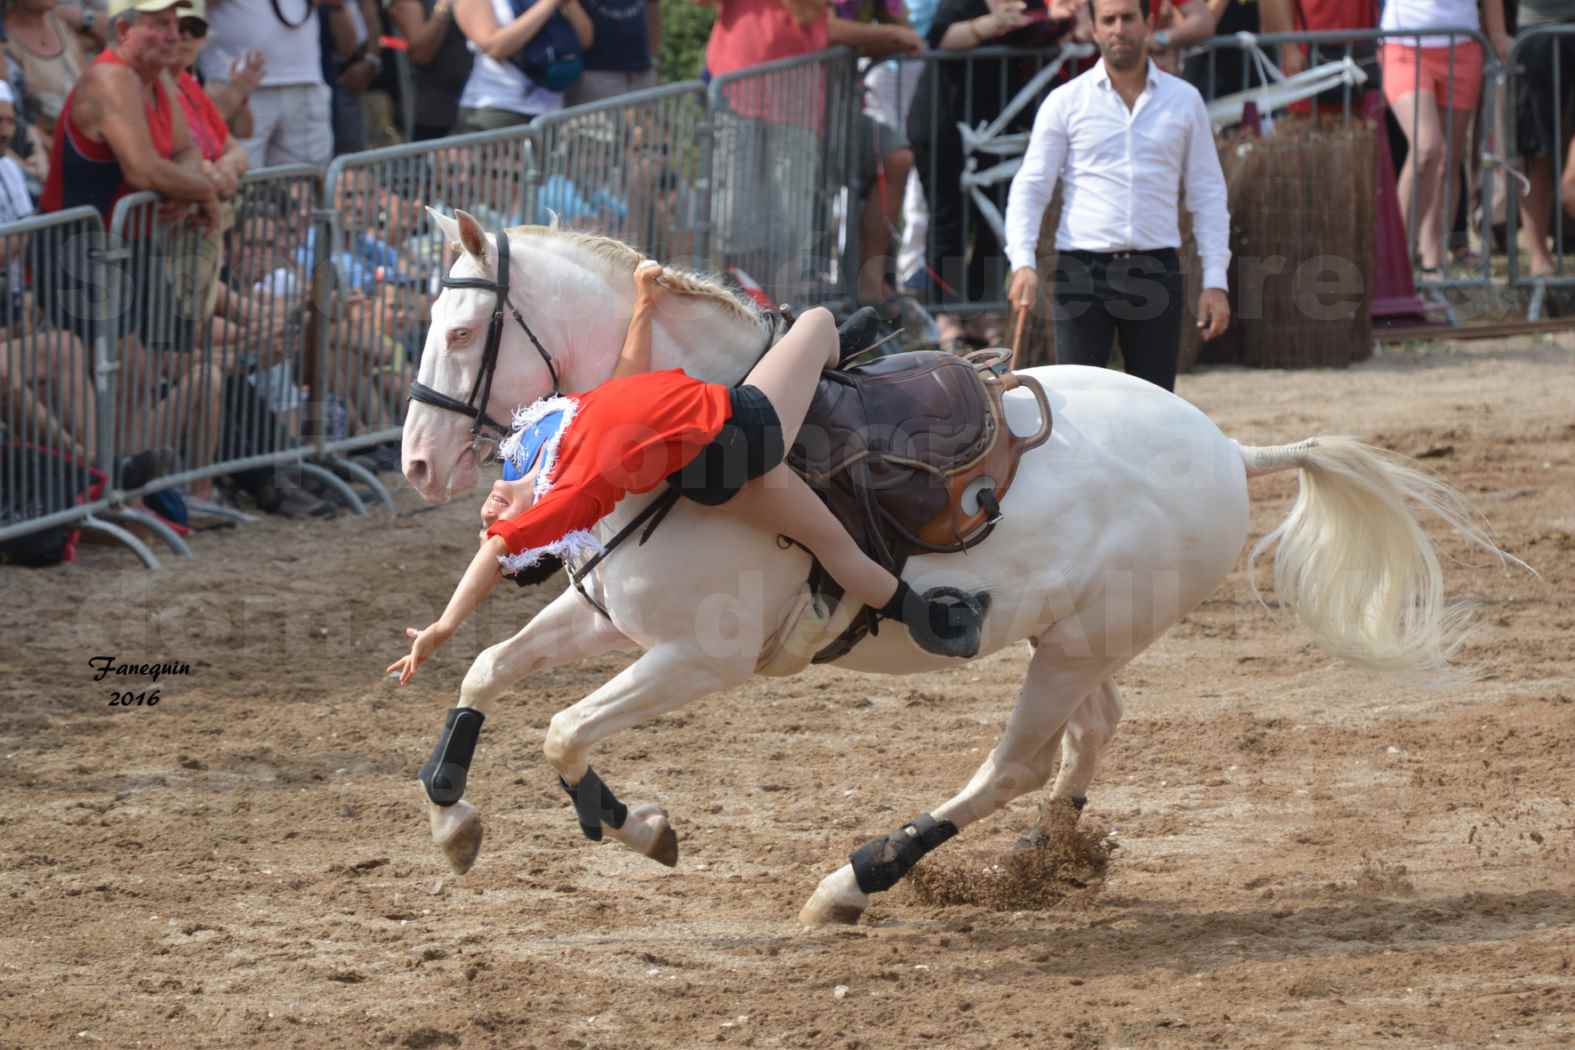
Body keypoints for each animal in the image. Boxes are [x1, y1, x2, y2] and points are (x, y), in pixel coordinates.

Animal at [400, 209, 1505, 925]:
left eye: (460, 331)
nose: (413, 462)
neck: (679, 425)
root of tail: (1231, 451)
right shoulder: (606, 620)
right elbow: (486, 672)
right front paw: (453, 817)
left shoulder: (694, 657)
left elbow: (563, 732)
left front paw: (636, 824)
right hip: (1079, 638)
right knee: (1089, 735)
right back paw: (1050, 856)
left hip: (1073, 647)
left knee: (1015, 763)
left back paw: (858, 879)